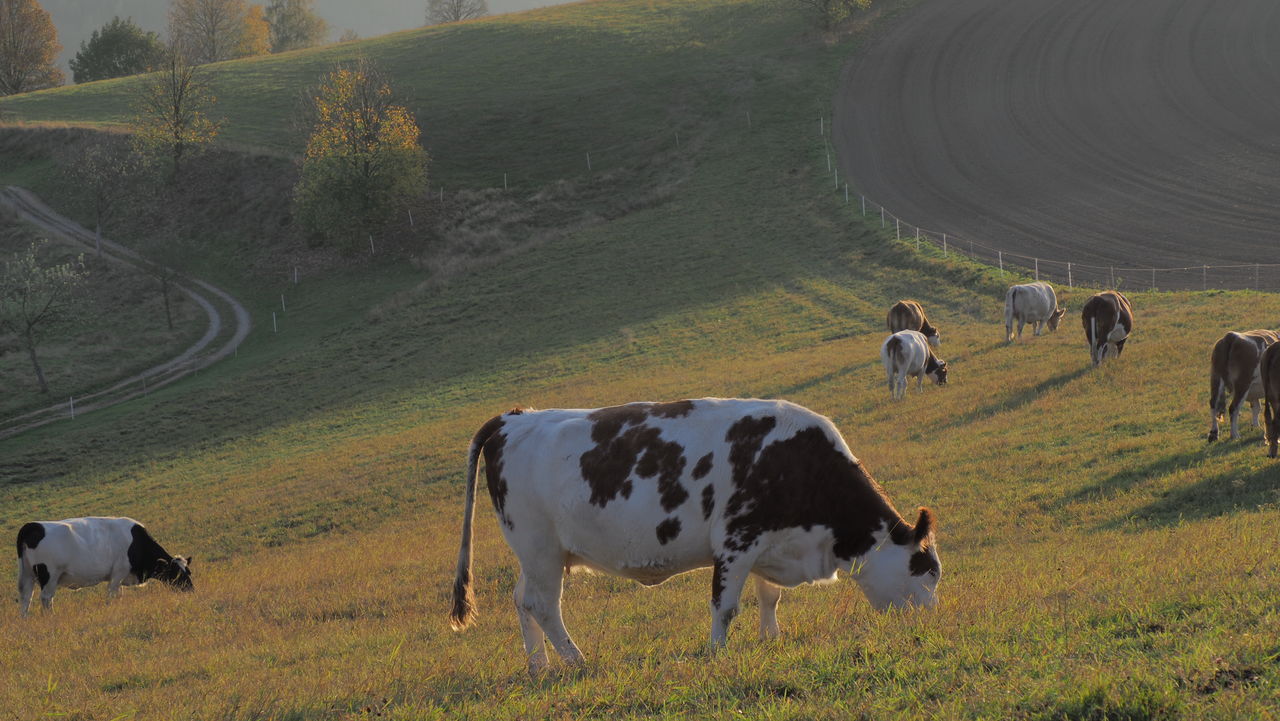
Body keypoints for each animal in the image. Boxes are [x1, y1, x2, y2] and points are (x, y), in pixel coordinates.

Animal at [16, 517, 192, 617]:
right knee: (46, 598)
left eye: (188, 572)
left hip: (27, 574)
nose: (191, 590)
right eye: (177, 574)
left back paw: (25, 619)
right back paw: (50, 617)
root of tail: (33, 525)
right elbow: (112, 595)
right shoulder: (118, 572)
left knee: (26, 597)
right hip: (50, 575)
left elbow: (119, 595)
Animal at [450, 396, 942, 676]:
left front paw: (771, 639)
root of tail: (514, 419)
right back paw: (576, 660)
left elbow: (769, 597)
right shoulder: (737, 539)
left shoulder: (768, 542)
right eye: (928, 572)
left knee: (521, 599)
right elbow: (725, 607)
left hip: (538, 554)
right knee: (542, 605)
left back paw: (539, 666)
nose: (931, 623)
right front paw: (718, 653)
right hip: (540, 548)